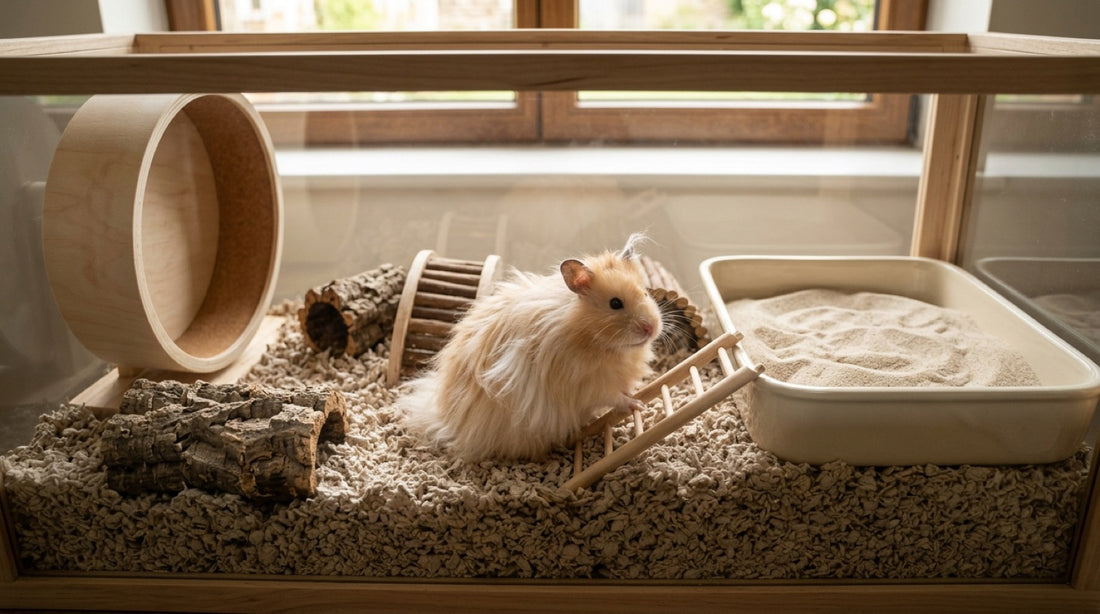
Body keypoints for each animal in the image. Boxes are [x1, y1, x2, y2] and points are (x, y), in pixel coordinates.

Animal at [399, 233, 663, 461]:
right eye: (615, 303)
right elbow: (614, 397)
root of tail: (445, 420)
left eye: (645, 293)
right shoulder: (588, 385)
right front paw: (637, 404)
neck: (599, 342)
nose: (651, 328)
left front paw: (636, 394)